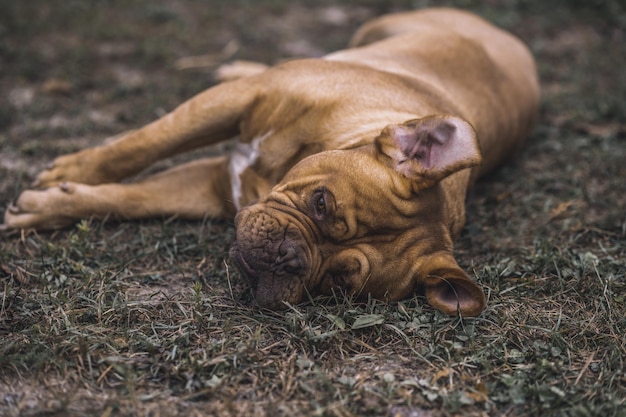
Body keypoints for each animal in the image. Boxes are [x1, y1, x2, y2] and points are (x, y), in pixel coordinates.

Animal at [0, 8, 536, 316]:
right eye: (320, 203)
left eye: (338, 283)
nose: (289, 256)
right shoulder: (233, 102)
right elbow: (140, 146)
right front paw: (72, 173)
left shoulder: (213, 186)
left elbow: (131, 200)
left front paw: (49, 206)